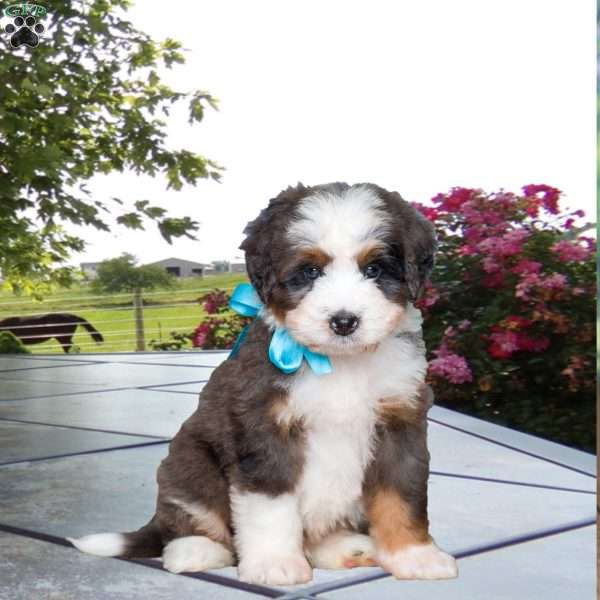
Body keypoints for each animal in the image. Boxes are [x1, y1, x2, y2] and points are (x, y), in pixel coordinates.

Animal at [74, 184, 460, 584]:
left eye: (374, 269)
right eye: (310, 271)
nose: (344, 321)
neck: (337, 365)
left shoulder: (400, 421)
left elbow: (402, 494)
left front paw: (415, 556)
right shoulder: (264, 430)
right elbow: (271, 505)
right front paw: (274, 564)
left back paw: (348, 549)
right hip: (190, 461)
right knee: (187, 516)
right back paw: (196, 551)